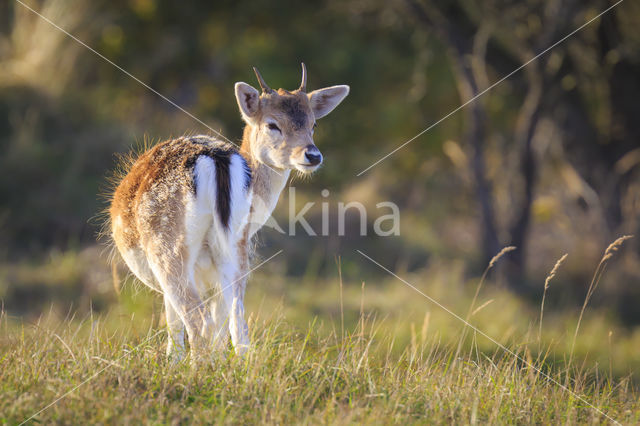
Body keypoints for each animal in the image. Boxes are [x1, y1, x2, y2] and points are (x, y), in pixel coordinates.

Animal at [110, 65, 350, 362]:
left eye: (313, 124)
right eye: (272, 124)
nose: (313, 155)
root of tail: (216, 160)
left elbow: (174, 324)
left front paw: (173, 363)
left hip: (167, 247)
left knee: (199, 321)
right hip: (236, 247)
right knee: (237, 323)